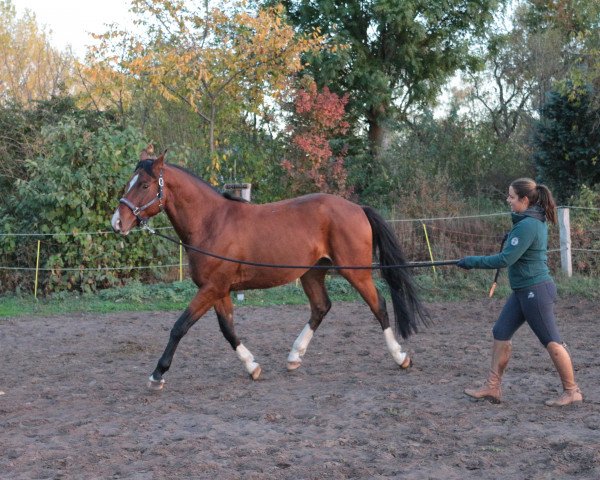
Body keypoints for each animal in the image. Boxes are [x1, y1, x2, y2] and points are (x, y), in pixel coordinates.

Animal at [111, 149, 426, 390]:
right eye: (129, 182)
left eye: (144, 185)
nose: (117, 222)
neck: (211, 223)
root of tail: (358, 208)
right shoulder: (220, 290)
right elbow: (228, 329)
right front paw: (252, 367)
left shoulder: (212, 288)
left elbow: (179, 327)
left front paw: (157, 375)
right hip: (312, 273)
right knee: (321, 307)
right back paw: (294, 357)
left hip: (356, 272)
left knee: (379, 305)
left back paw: (400, 357)